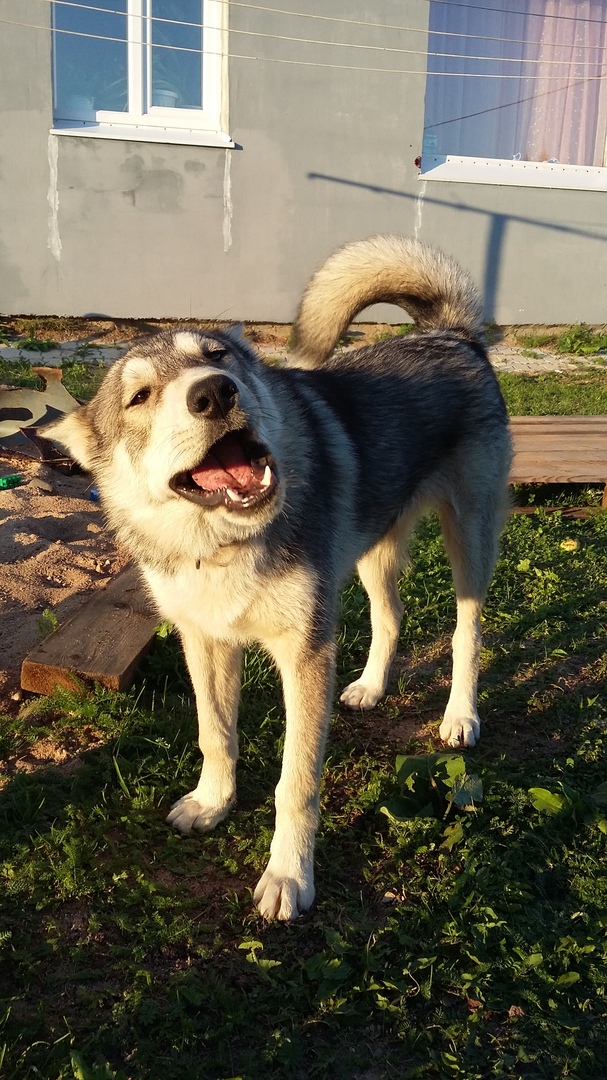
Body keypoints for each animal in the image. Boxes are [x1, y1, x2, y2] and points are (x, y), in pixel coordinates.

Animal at [48, 235, 512, 921]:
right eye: (140, 397)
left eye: (217, 357)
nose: (215, 393)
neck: (221, 544)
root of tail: (451, 335)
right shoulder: (205, 642)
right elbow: (215, 734)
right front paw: (212, 803)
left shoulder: (304, 653)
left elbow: (295, 783)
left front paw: (289, 876)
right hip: (372, 550)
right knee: (390, 615)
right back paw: (370, 687)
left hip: (470, 541)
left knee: (466, 633)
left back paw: (460, 716)